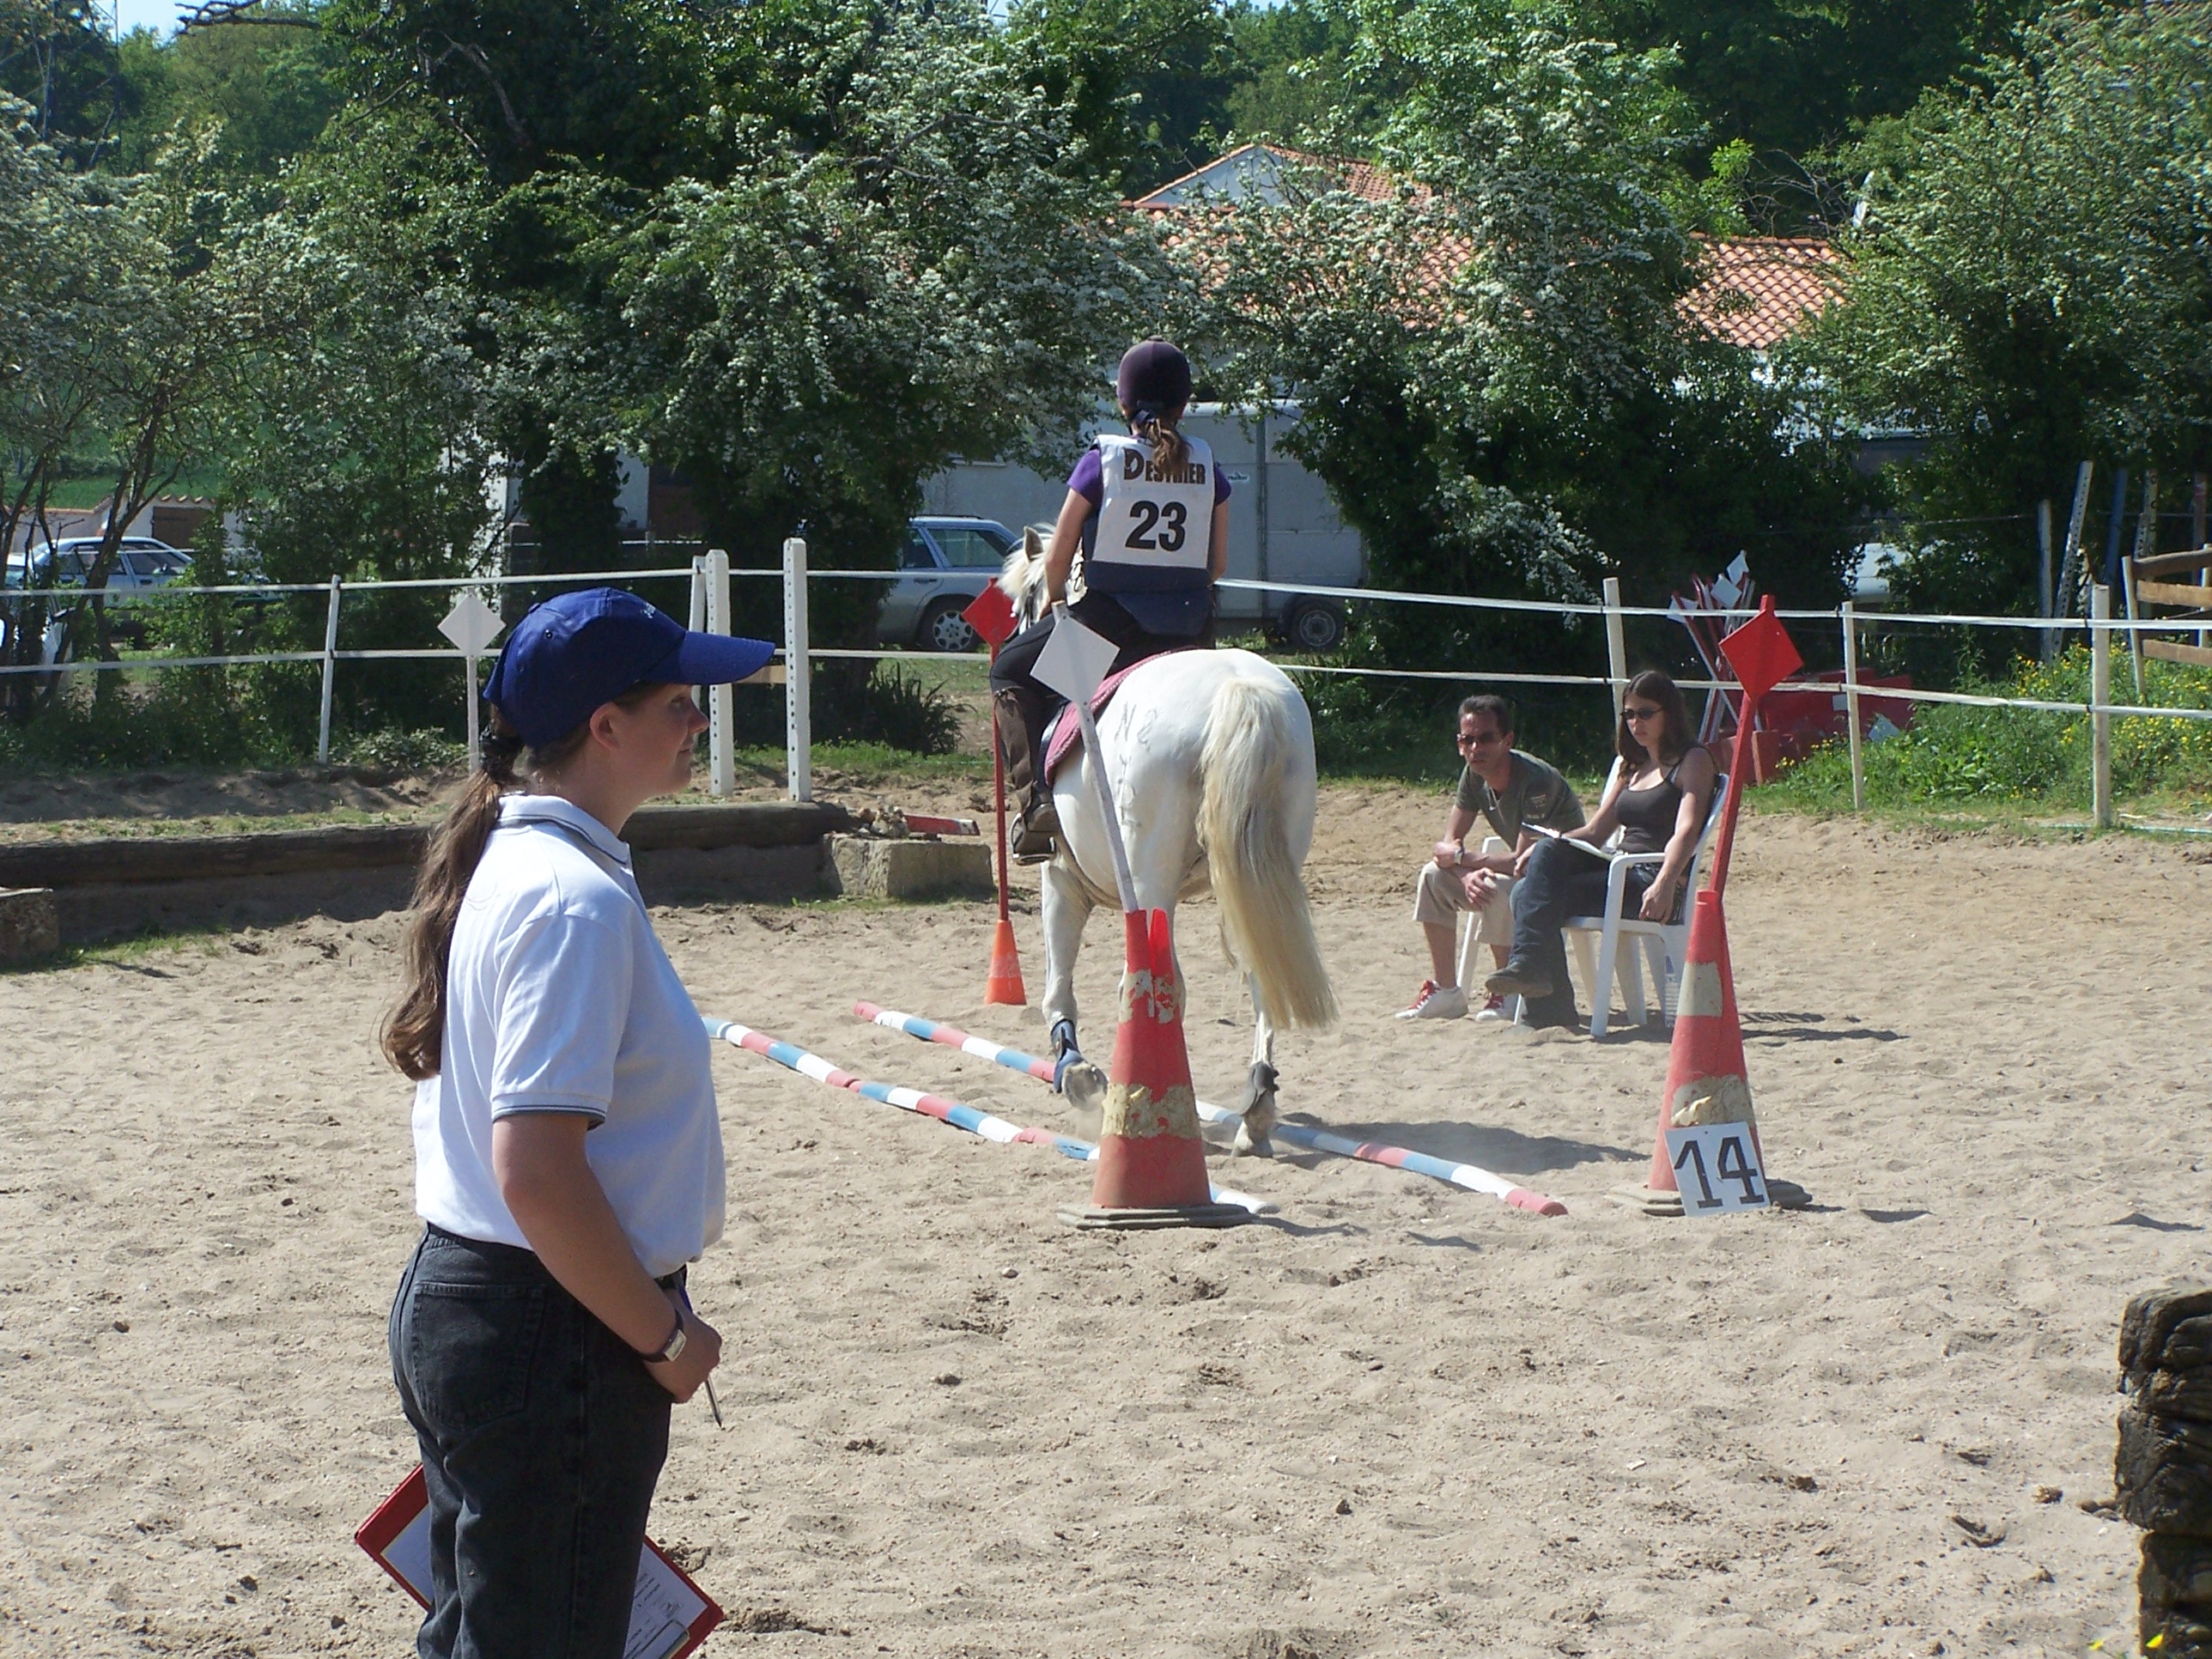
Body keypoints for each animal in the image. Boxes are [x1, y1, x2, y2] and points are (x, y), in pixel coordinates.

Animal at [1000, 532, 1327, 1158]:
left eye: (1028, 601)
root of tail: (1237, 687)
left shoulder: (1061, 880)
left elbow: (1059, 982)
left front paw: (1077, 1074)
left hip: (1151, 884)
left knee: (1159, 981)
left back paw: (1146, 1102)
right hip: (1266, 874)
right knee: (1261, 973)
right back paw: (1256, 1110)